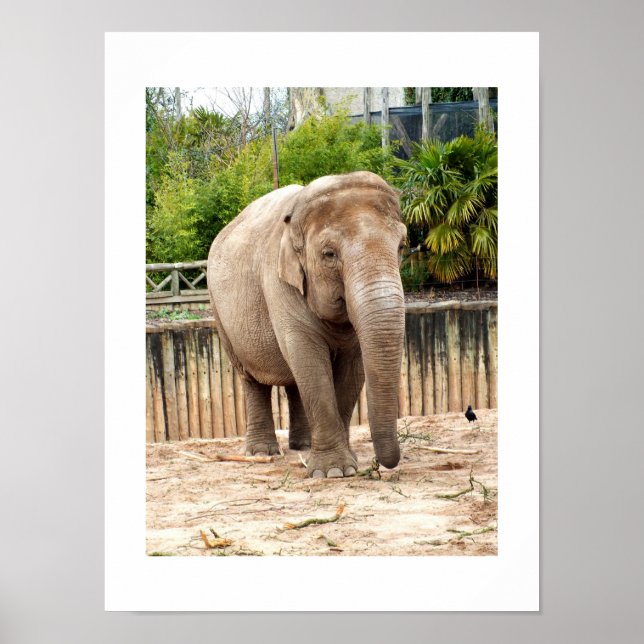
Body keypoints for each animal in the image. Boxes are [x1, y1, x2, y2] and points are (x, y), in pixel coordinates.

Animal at [207, 171, 407, 478]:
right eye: (329, 254)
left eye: (402, 246)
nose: (382, 463)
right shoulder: (278, 283)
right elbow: (308, 357)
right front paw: (333, 472)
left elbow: (352, 366)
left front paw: (346, 464)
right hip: (220, 312)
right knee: (252, 378)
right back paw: (262, 452)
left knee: (293, 380)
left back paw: (303, 447)